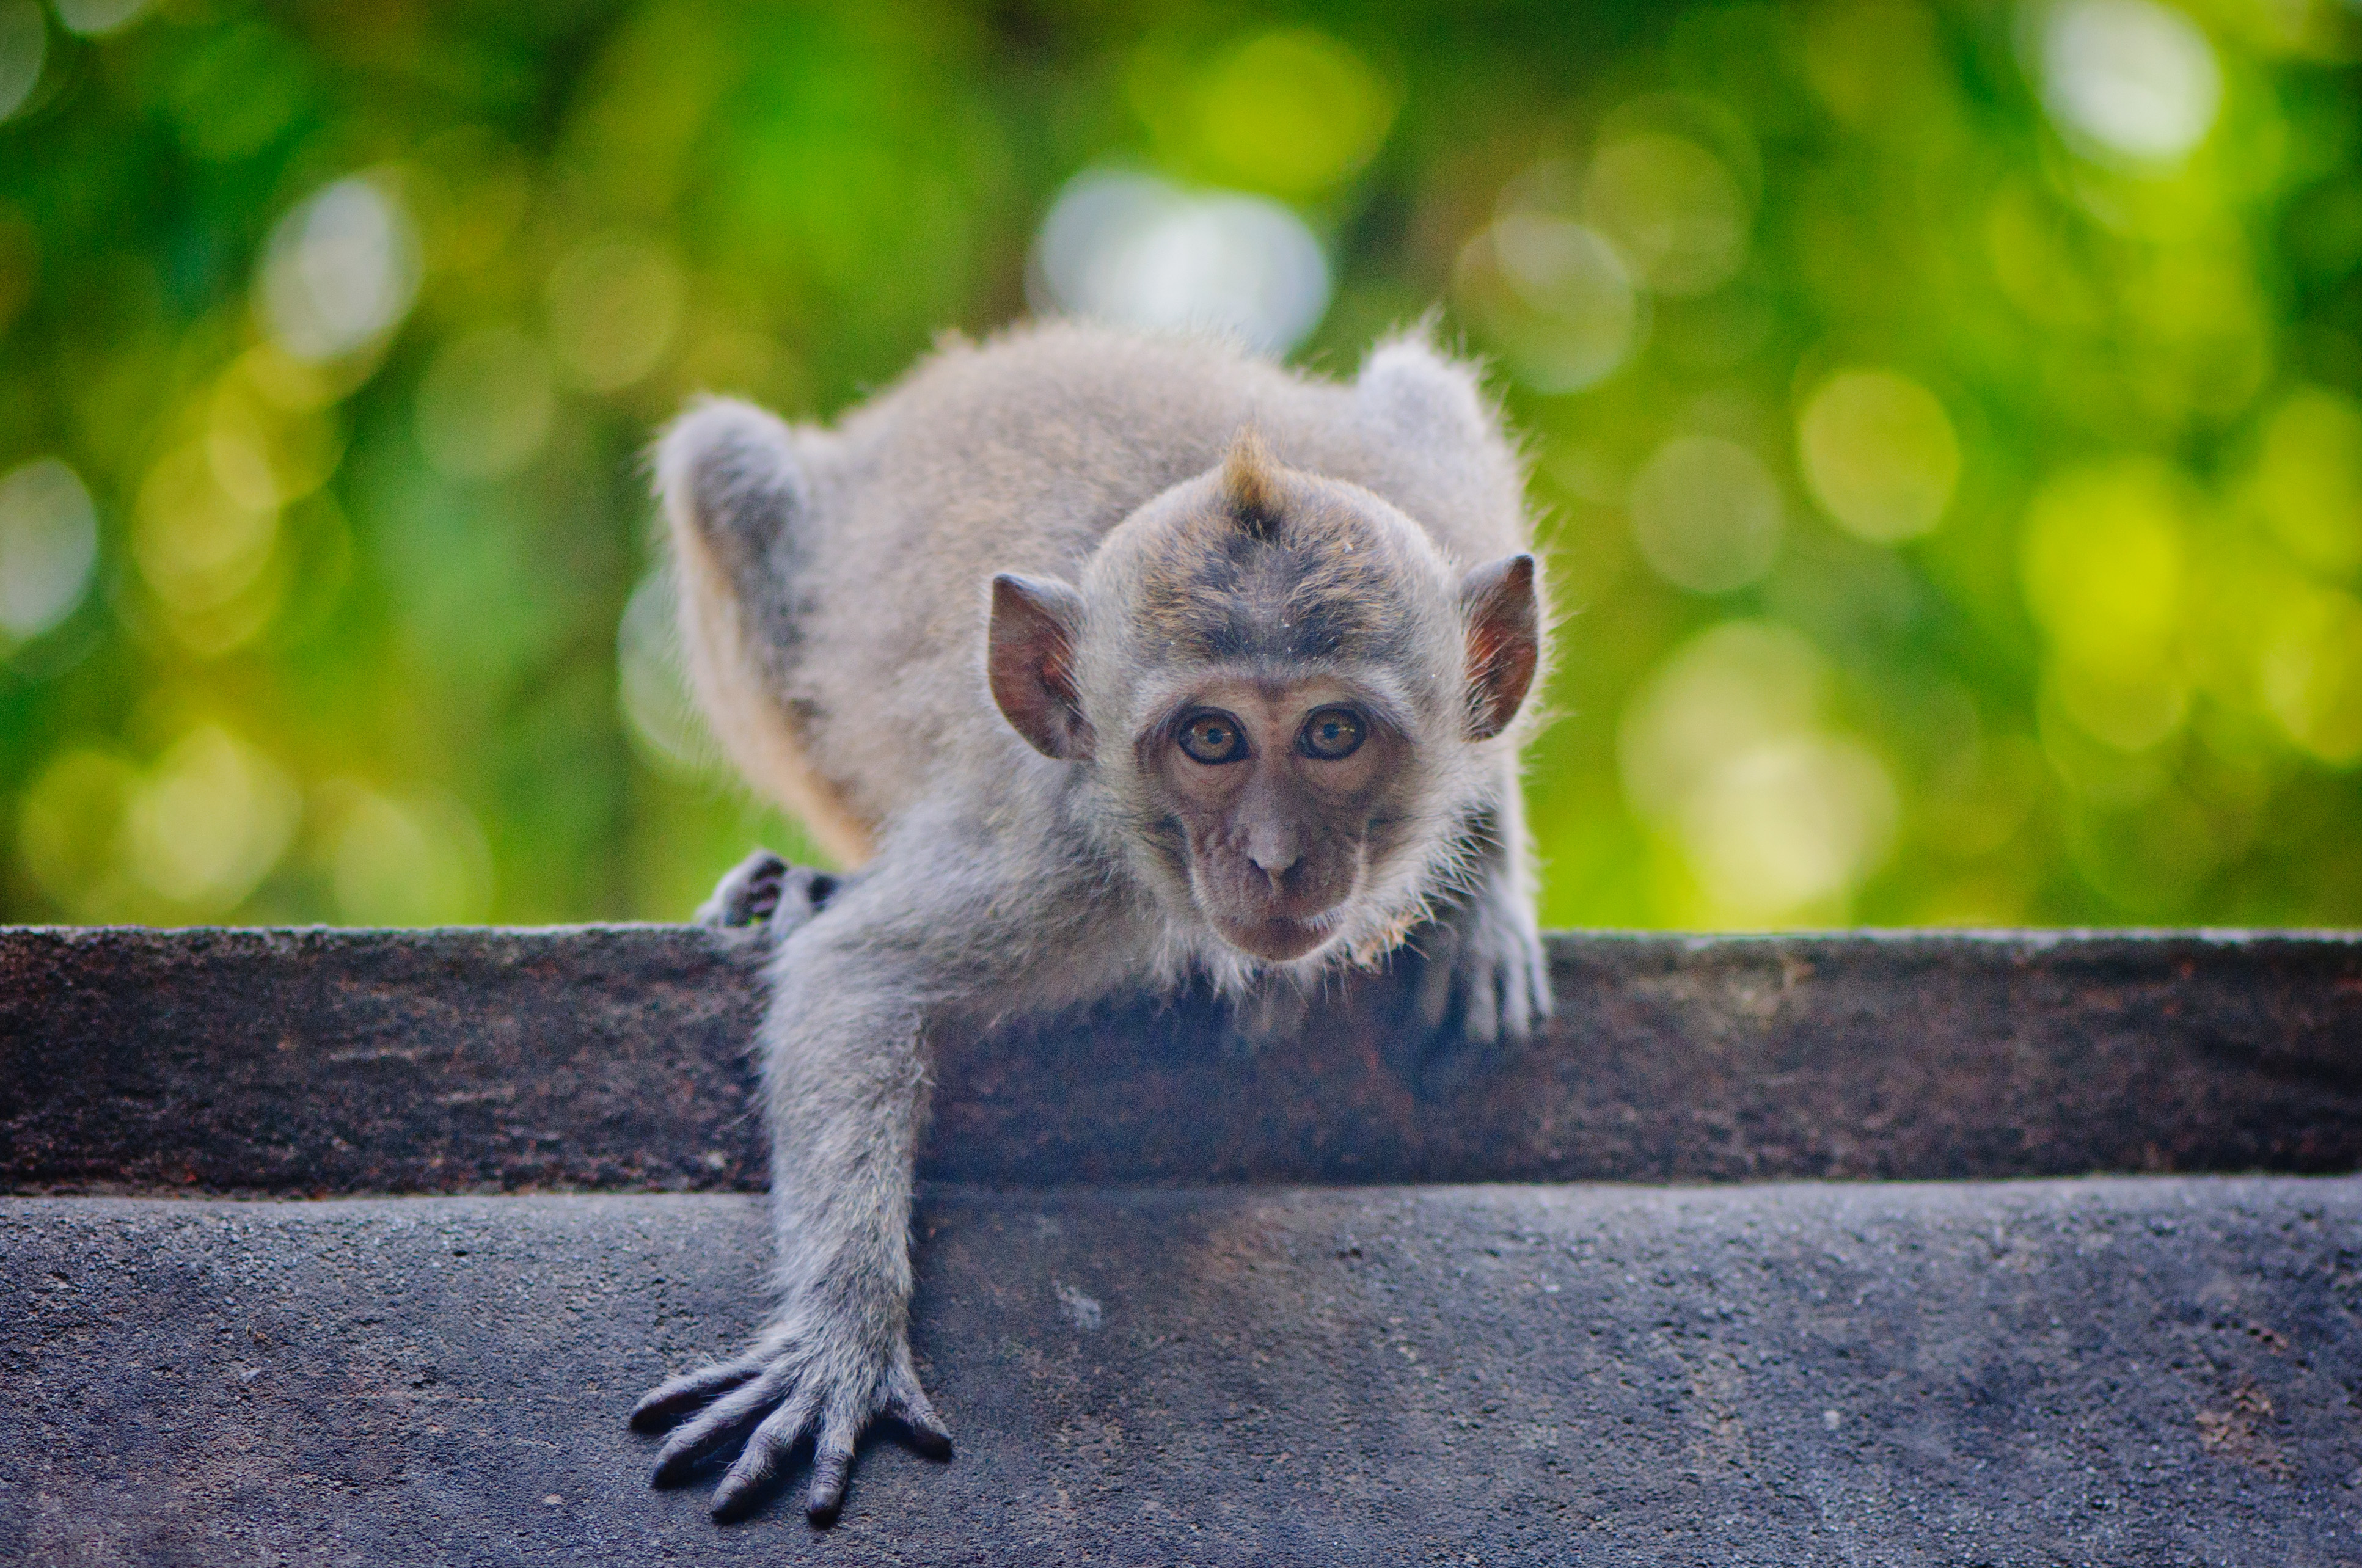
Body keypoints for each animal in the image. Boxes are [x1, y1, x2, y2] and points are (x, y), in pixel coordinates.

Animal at [628, 321, 1549, 1530]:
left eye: (1332, 733)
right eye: (1209, 739)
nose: (1273, 858)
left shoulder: (1441, 503)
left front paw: (1484, 874)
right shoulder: (1057, 860)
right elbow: (859, 977)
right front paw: (840, 1338)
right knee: (724, 473)